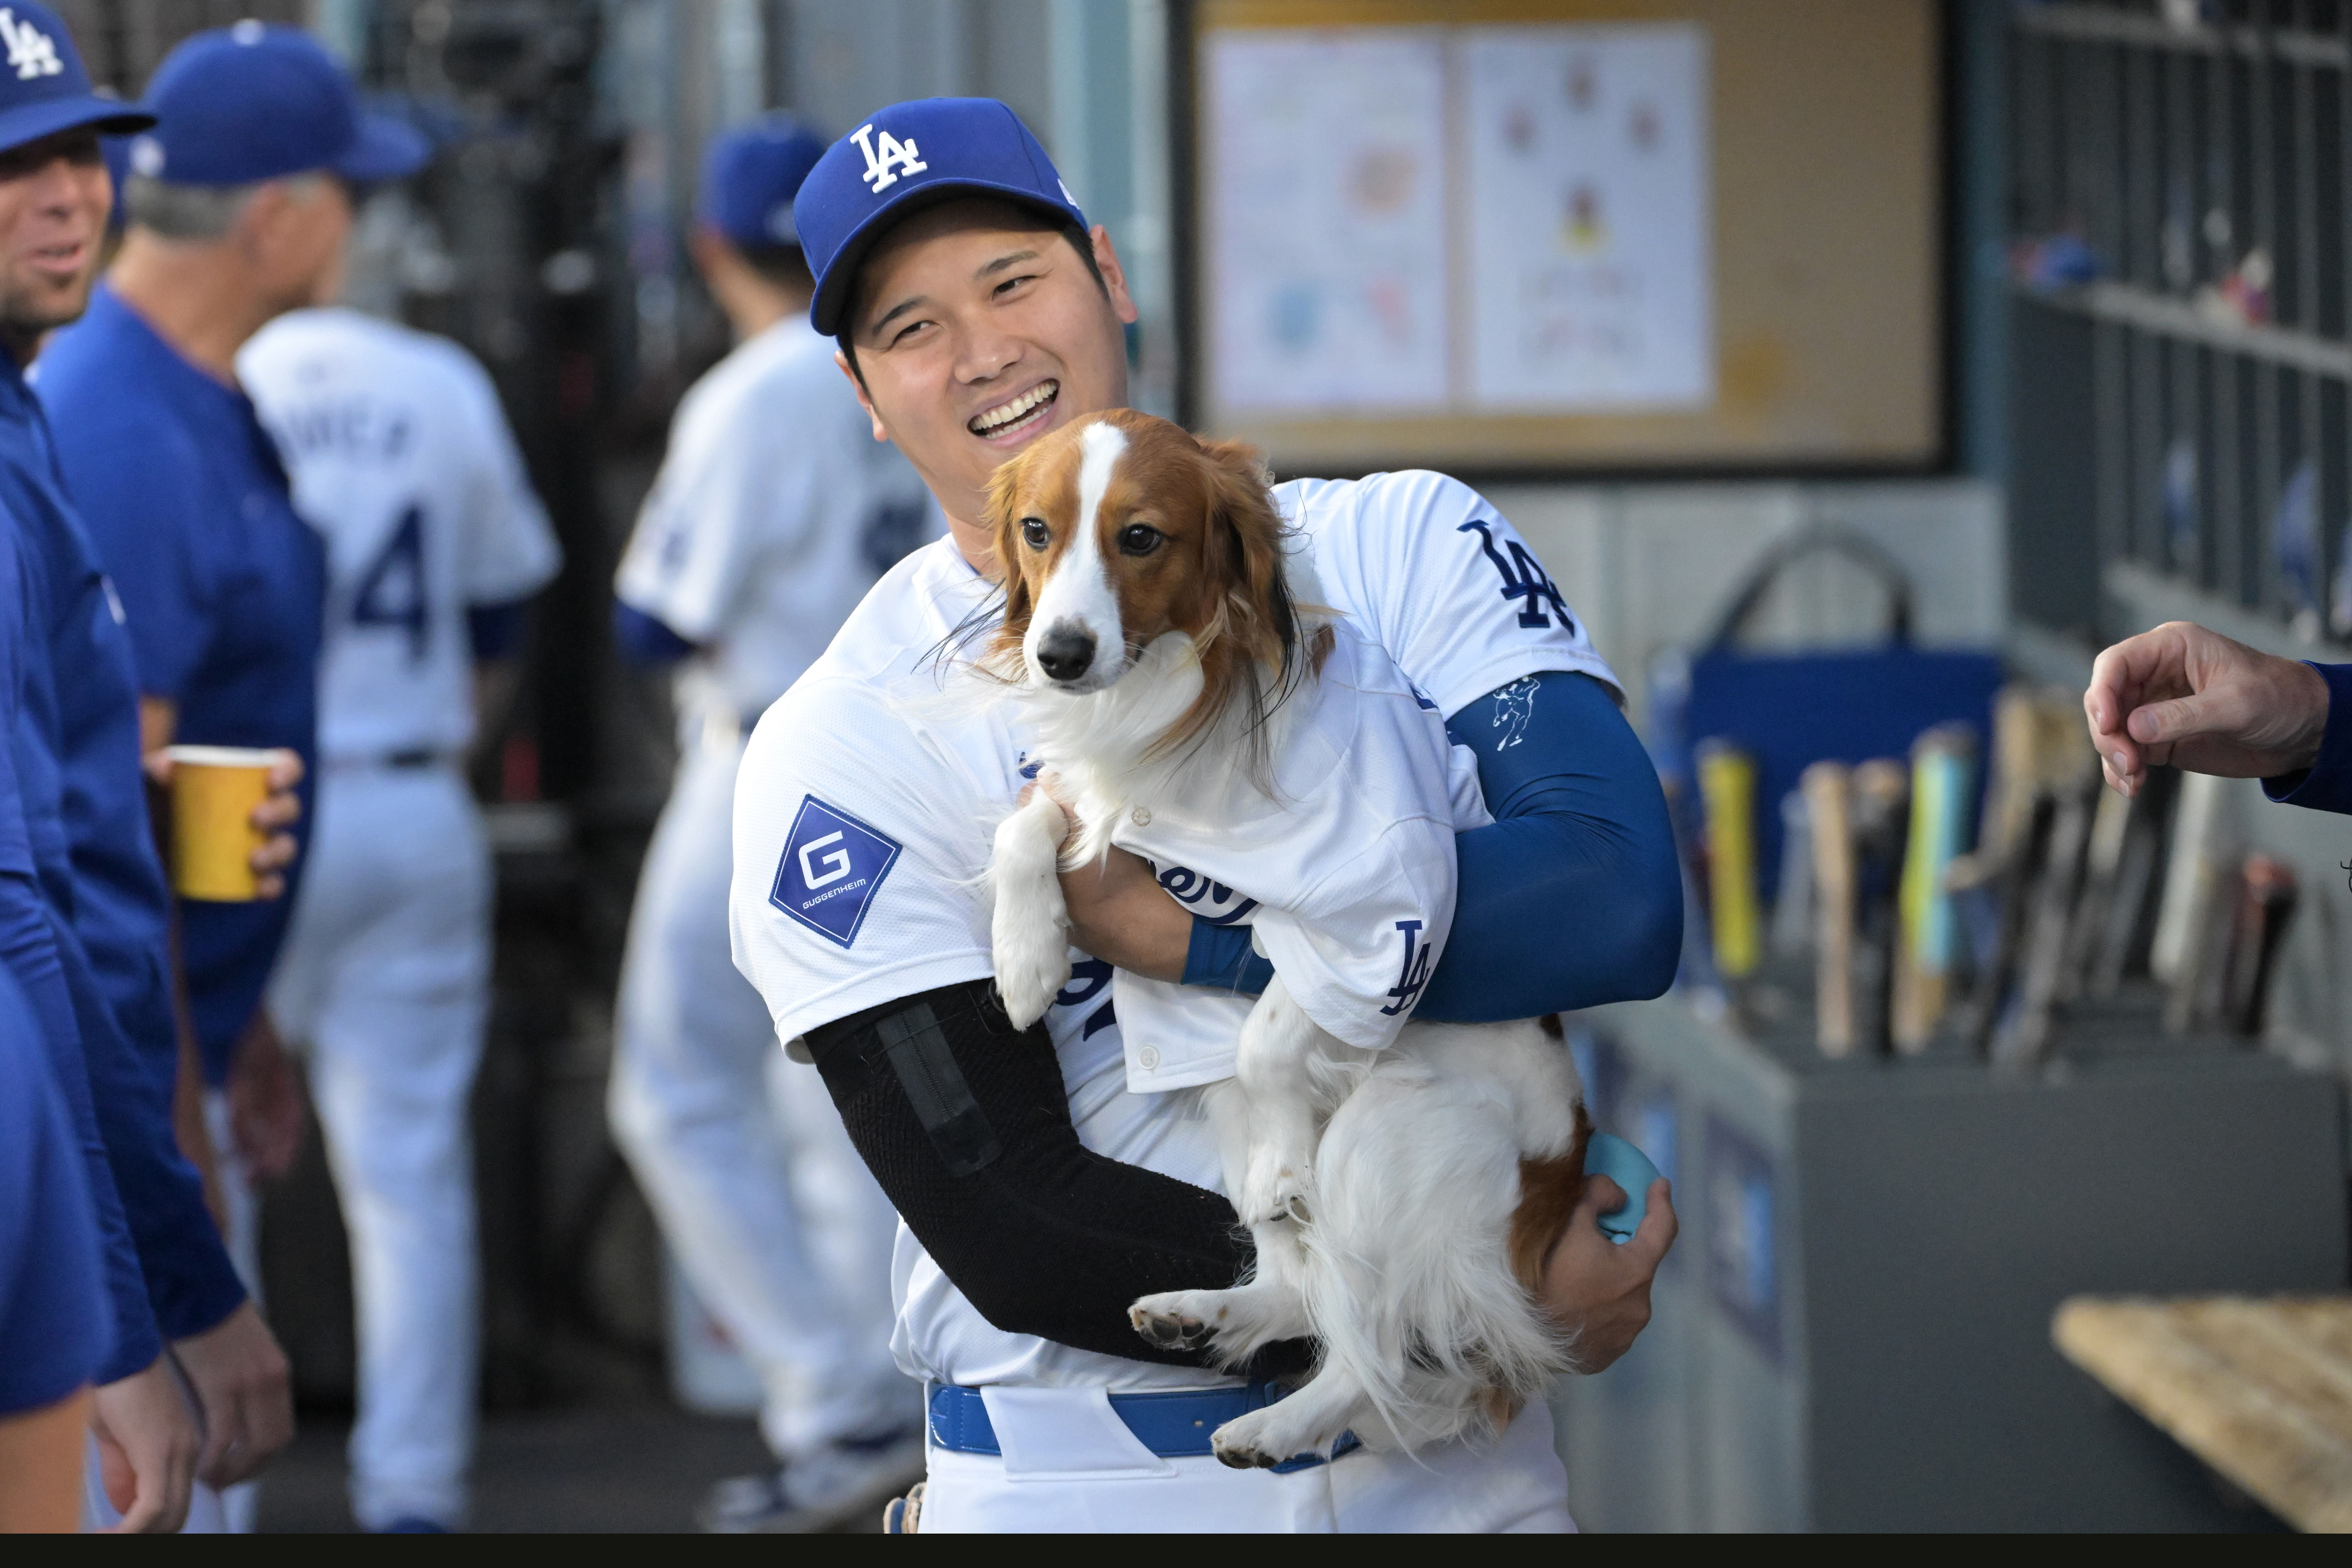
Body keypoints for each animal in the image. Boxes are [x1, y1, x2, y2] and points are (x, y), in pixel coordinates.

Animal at [973, 411, 1599, 1467]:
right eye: (1035, 530)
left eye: (1139, 537)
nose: (1059, 652)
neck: (1176, 696)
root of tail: (1566, 1164)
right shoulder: (1088, 800)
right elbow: (1025, 826)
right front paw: (1026, 956)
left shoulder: (1385, 911)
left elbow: (1274, 1023)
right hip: (1232, 1114)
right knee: (1302, 1283)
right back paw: (1210, 1311)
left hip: (1386, 1132)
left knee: (1374, 1335)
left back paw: (1282, 1419)